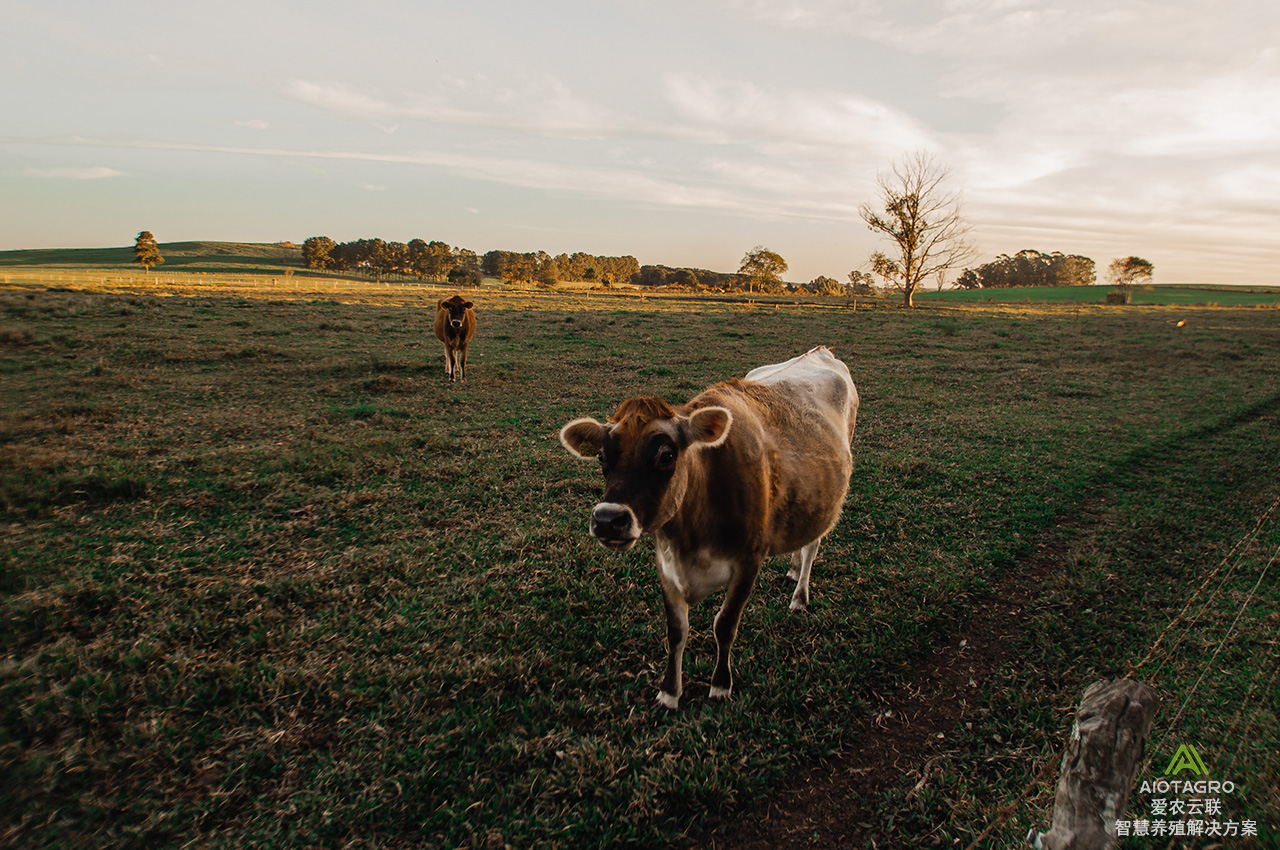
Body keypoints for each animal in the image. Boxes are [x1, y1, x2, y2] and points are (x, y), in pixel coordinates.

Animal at [560, 345, 860, 711]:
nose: (607, 519)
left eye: (666, 455)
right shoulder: (666, 564)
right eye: (603, 456)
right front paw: (669, 692)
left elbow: (725, 624)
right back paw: (790, 569)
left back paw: (799, 596)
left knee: (812, 546)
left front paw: (720, 685)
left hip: (828, 500)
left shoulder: (749, 561)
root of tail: (819, 351)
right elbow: (676, 630)